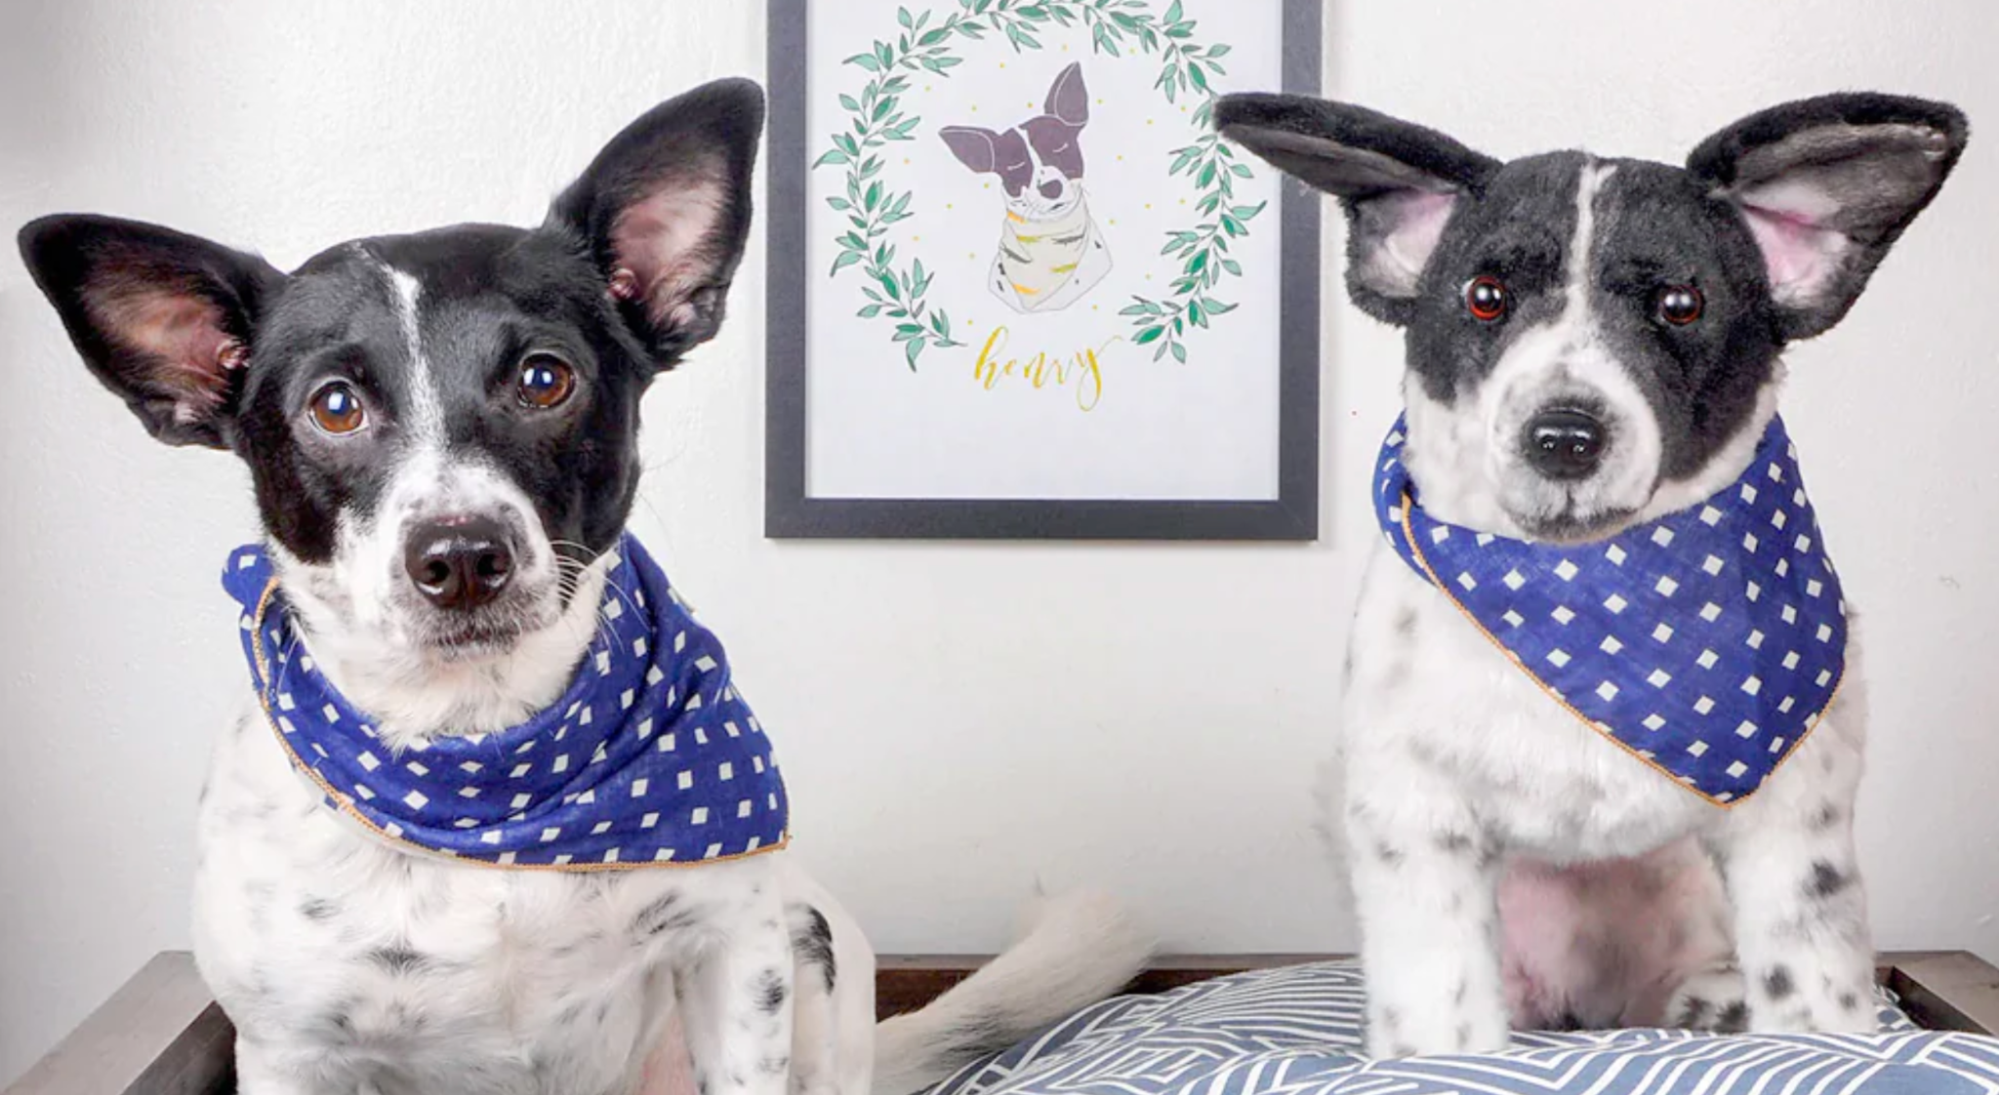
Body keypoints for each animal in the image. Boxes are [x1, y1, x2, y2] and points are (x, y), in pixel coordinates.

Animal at [15, 79, 1151, 1096]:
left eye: (543, 379)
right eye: (333, 405)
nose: (462, 556)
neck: (486, 759)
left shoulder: (738, 953)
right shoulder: (291, 1048)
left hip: (816, 947)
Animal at [1215, 92, 1967, 1056]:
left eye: (1680, 304)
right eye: (1484, 297)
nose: (1564, 435)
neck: (1590, 601)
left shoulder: (1797, 827)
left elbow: (1814, 1001)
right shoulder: (1415, 819)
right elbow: (1438, 1015)